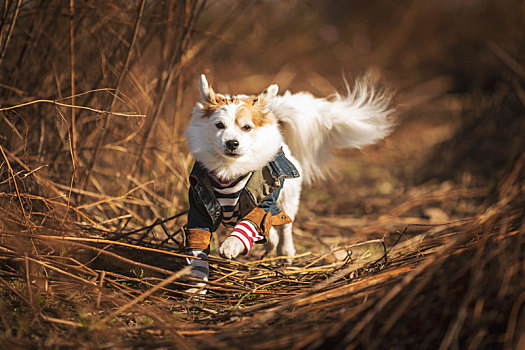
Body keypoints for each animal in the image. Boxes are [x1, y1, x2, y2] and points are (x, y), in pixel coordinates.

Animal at [182, 73, 390, 288]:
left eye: (247, 127)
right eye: (219, 125)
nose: (232, 142)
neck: (229, 170)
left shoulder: (264, 201)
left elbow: (249, 225)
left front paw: (231, 245)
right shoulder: (199, 210)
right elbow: (198, 245)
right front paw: (197, 284)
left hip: (287, 198)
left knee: (285, 227)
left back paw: (285, 251)